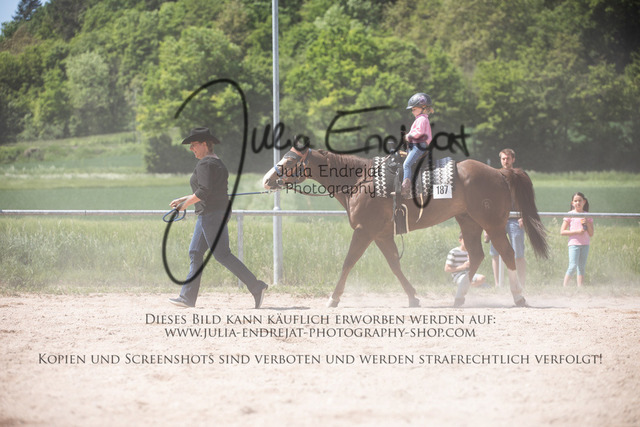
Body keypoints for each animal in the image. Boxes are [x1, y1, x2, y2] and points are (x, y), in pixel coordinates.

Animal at [262, 146, 548, 308]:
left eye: (289, 162)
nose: (267, 179)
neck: (360, 181)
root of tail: (499, 172)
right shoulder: (381, 234)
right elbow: (394, 265)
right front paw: (413, 297)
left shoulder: (364, 231)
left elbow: (348, 262)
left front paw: (333, 298)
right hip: (469, 222)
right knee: (477, 255)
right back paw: (459, 297)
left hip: (493, 224)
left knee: (508, 254)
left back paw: (519, 297)